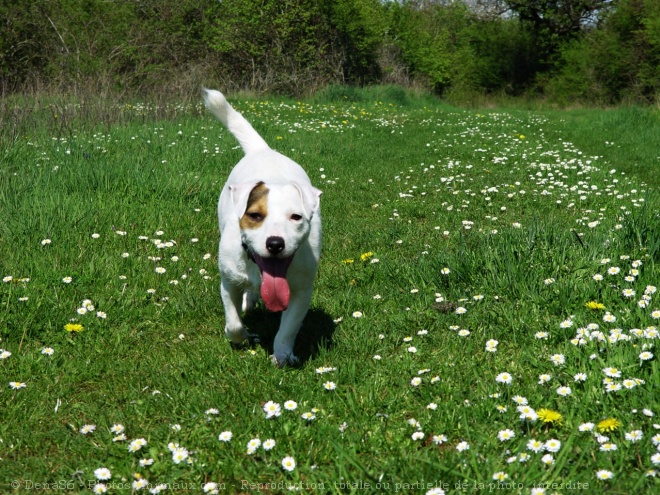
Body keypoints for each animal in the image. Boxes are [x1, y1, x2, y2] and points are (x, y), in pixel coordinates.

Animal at [204, 90, 322, 368]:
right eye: (255, 215)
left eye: (296, 217)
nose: (275, 243)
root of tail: (264, 149)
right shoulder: (228, 283)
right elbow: (234, 322)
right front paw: (241, 336)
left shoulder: (301, 291)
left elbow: (288, 329)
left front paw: (283, 355)